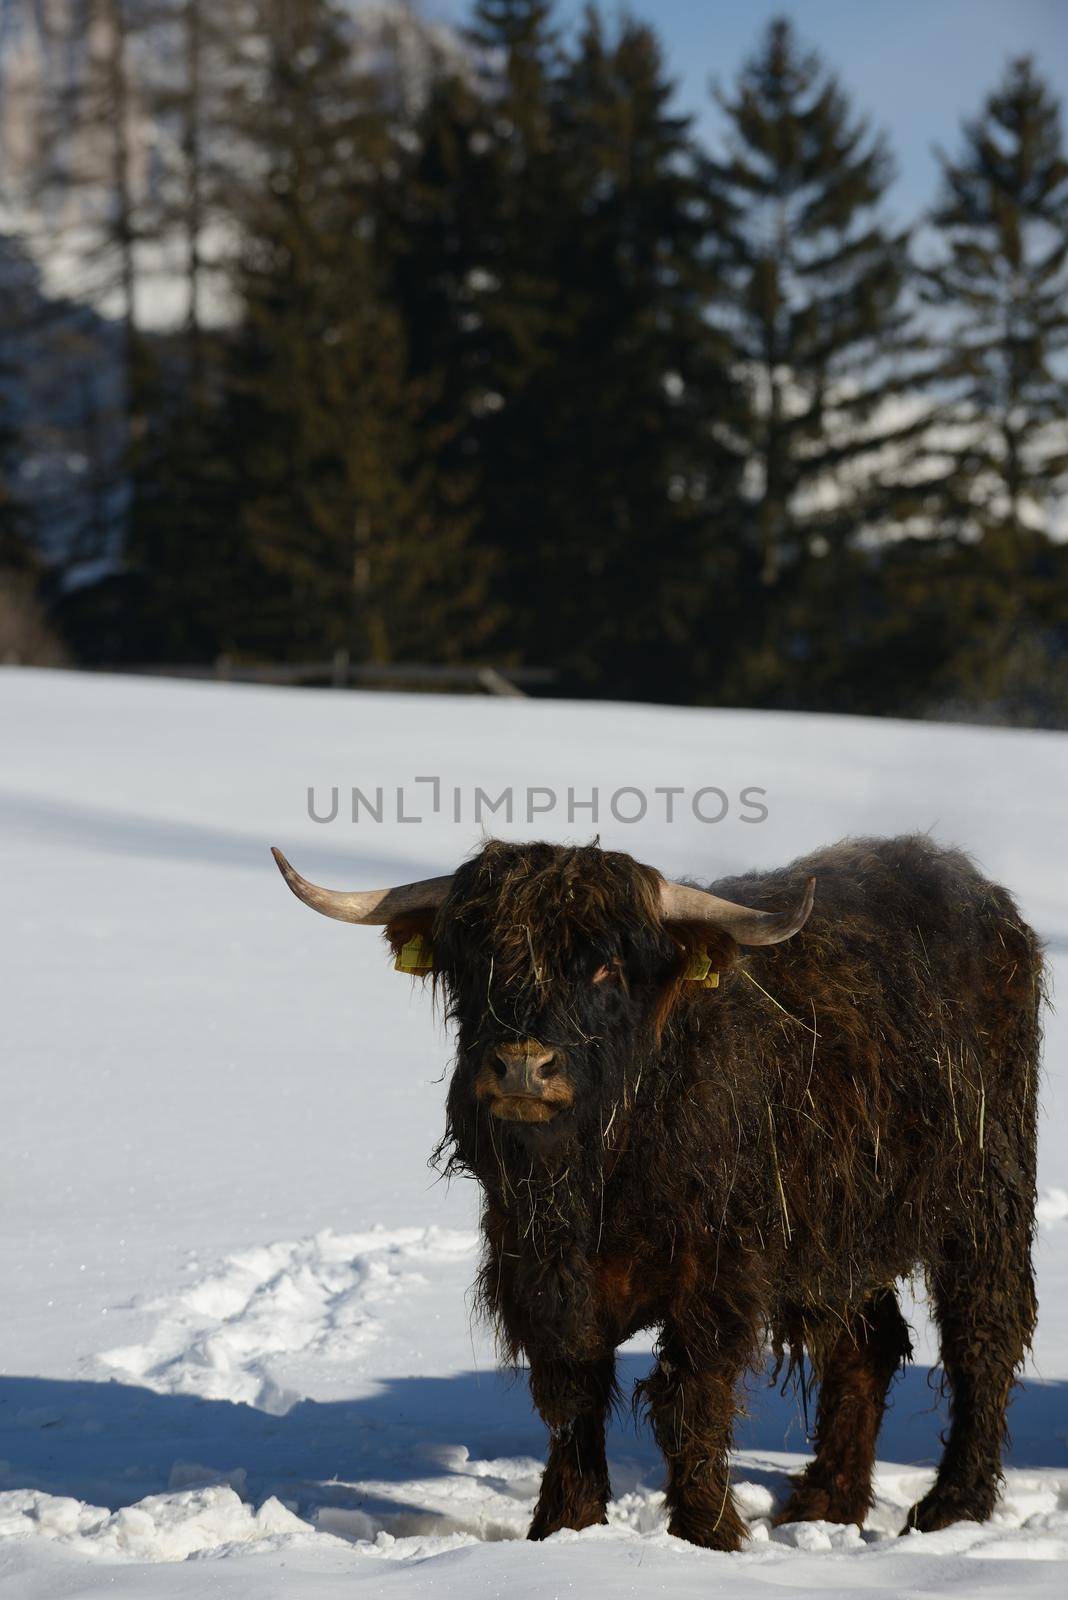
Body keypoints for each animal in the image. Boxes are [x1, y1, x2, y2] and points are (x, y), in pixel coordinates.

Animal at [271, 838, 1036, 1548]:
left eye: (607, 965)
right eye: (477, 959)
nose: (522, 1067)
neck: (598, 1178)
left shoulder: (718, 1275)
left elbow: (688, 1400)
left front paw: (705, 1535)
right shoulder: (539, 1271)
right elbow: (571, 1394)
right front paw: (563, 1527)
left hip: (984, 1196)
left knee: (983, 1335)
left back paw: (952, 1507)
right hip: (839, 1234)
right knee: (865, 1347)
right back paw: (824, 1503)